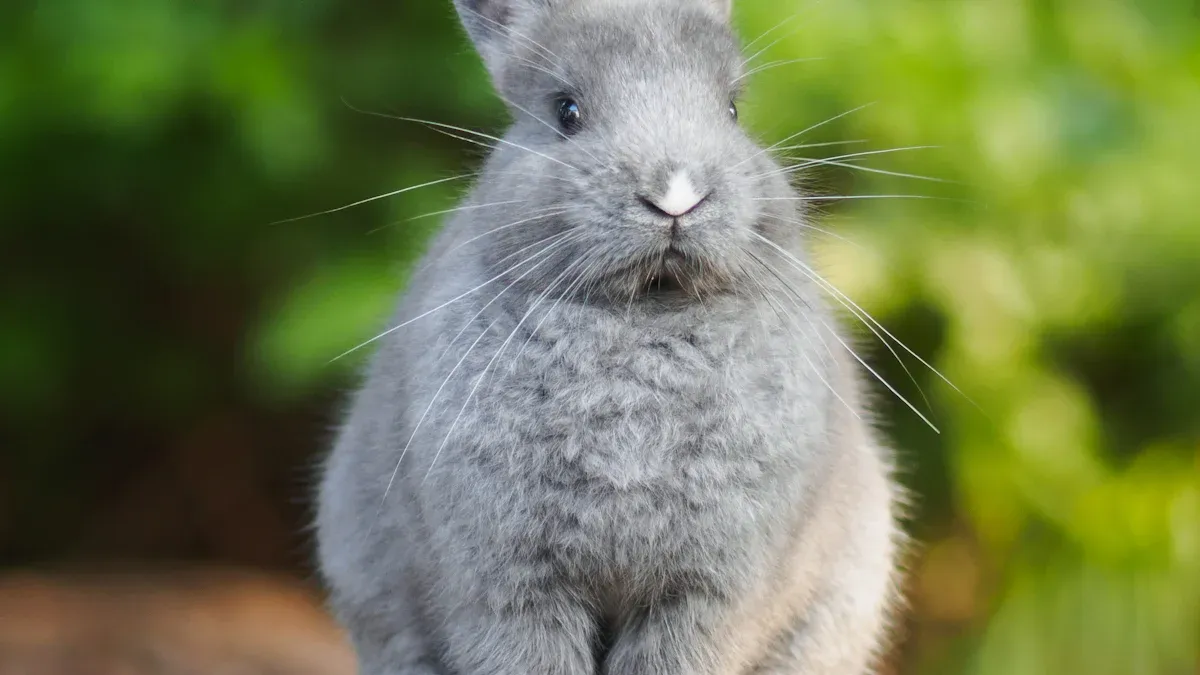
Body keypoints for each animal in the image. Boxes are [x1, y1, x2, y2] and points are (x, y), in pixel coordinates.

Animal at [315, 0, 905, 673]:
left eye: (733, 109)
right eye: (566, 112)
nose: (676, 196)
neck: (645, 314)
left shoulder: (708, 595)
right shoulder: (509, 591)